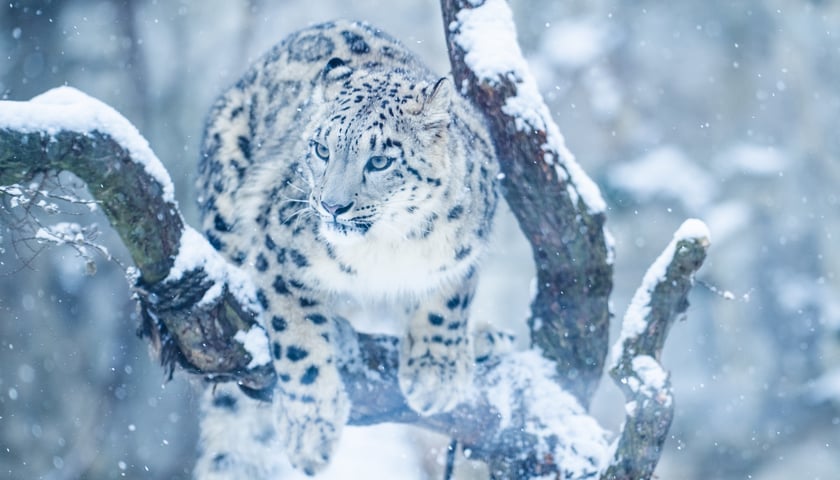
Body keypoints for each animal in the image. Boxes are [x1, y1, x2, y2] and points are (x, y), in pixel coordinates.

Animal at [195, 19, 498, 476]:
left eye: (380, 161)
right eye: (322, 149)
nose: (332, 205)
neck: (388, 247)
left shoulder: (467, 248)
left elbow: (447, 302)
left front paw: (436, 374)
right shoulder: (277, 251)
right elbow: (297, 339)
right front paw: (310, 432)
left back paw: (485, 340)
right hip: (226, 208)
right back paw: (339, 334)